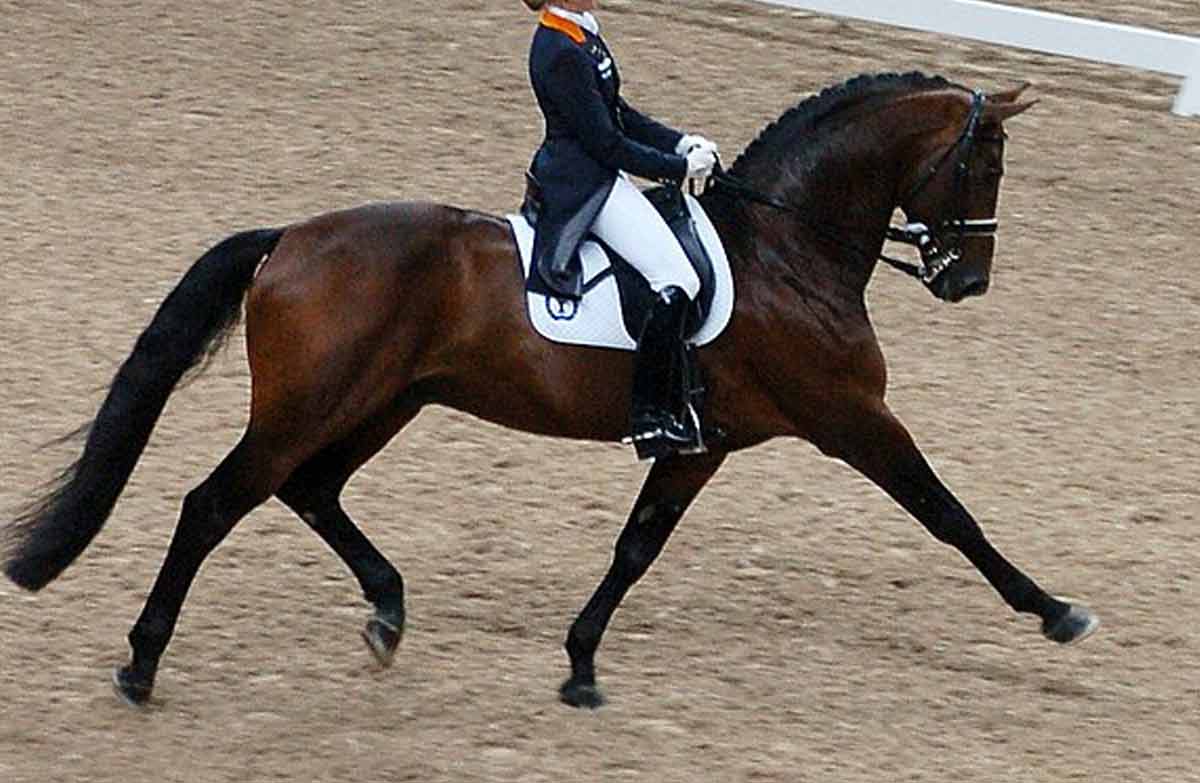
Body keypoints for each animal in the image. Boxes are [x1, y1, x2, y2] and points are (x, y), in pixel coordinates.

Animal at [3, 72, 1099, 710]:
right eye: (985, 162)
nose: (968, 281)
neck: (789, 250)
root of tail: (290, 239)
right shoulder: (850, 418)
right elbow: (949, 514)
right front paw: (1056, 612)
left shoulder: (703, 443)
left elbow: (636, 547)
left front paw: (578, 665)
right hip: (311, 404)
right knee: (216, 502)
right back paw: (141, 666)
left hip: (386, 402)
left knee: (310, 490)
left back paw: (388, 612)